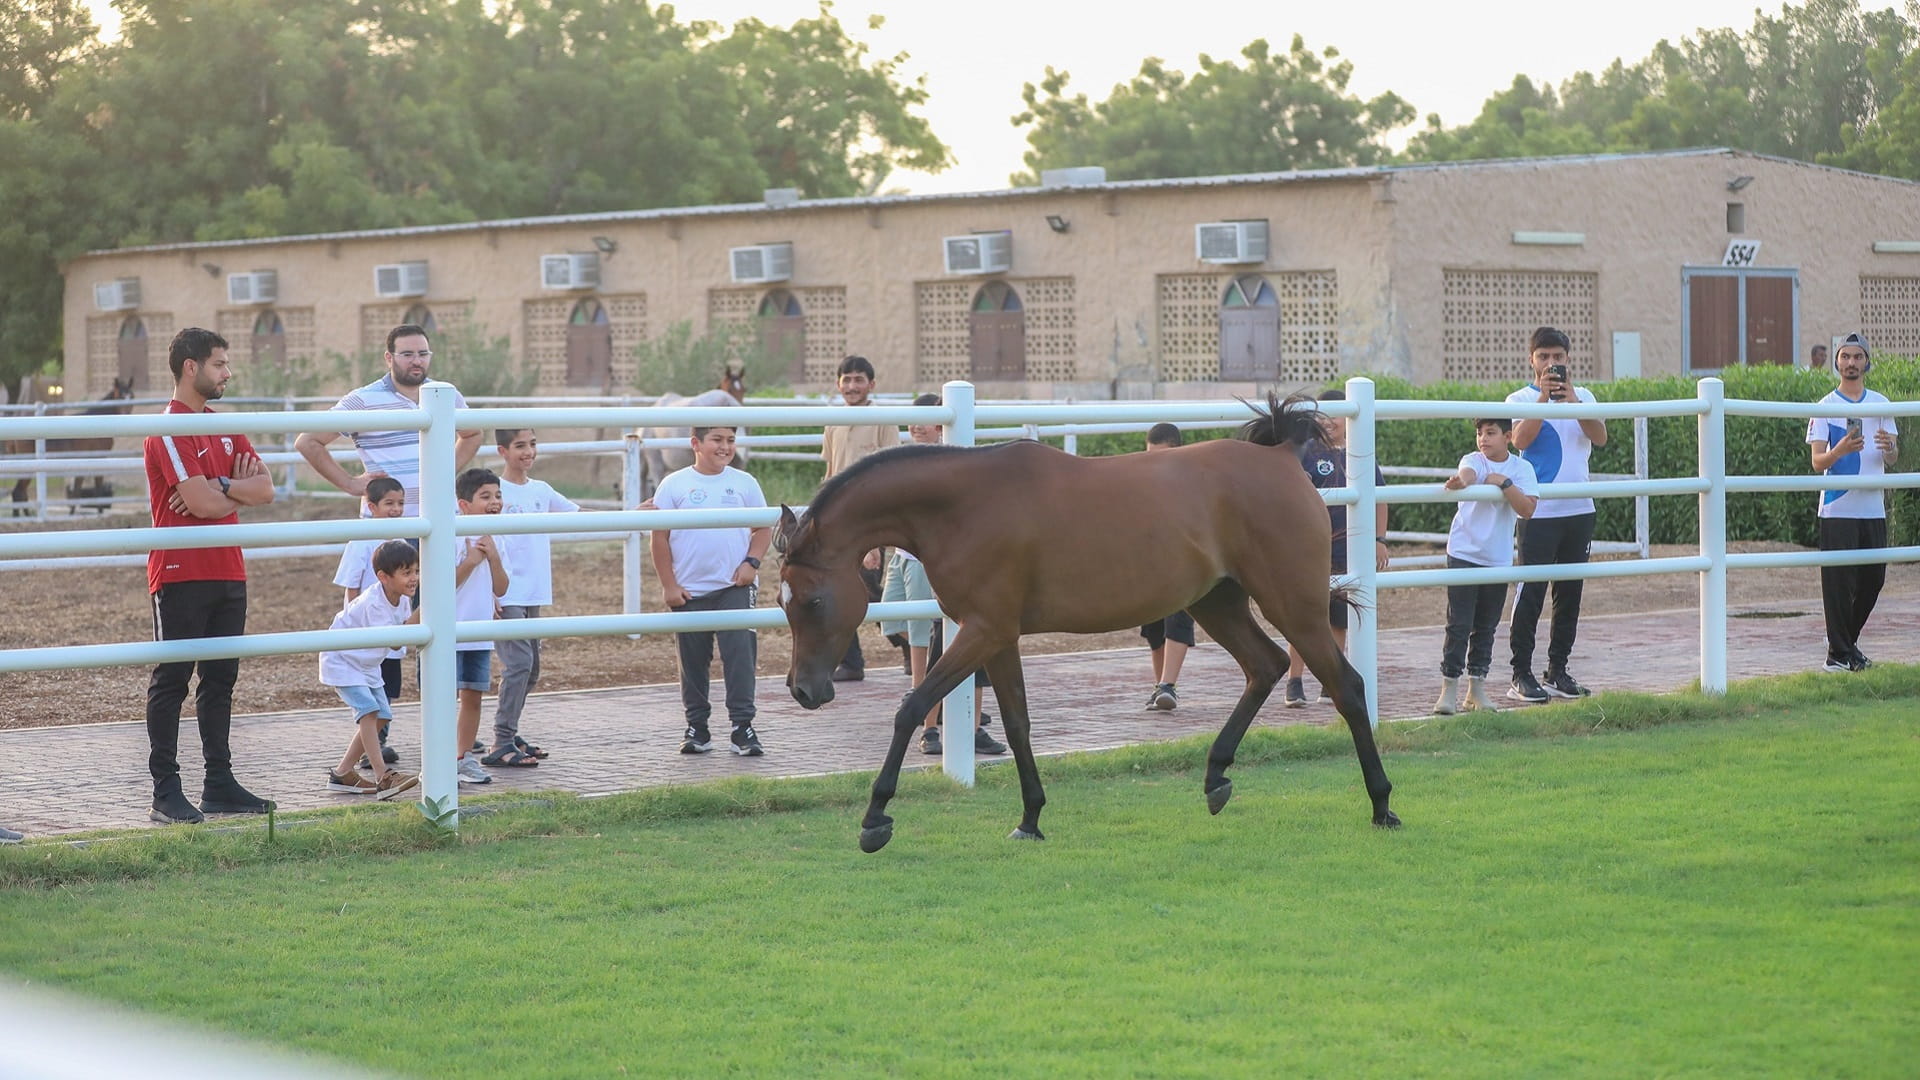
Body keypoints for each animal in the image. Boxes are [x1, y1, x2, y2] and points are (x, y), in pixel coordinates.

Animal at [775, 388, 1397, 849]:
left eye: (812, 601)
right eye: (781, 602)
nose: (803, 691)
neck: (963, 505)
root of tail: (1279, 456)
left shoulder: (981, 631)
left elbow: (911, 707)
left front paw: (875, 818)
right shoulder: (998, 636)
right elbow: (1018, 723)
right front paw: (1030, 819)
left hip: (1293, 604)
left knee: (1346, 686)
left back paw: (1382, 805)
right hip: (1216, 602)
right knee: (1265, 666)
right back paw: (1217, 776)